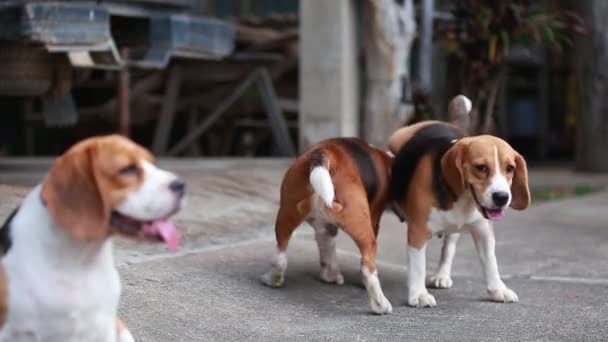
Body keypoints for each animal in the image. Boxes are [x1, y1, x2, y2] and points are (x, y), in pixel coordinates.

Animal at [262, 138, 394, 314]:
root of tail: (325, 153)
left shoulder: (324, 228)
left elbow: (327, 249)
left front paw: (329, 275)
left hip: (285, 213)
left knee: (280, 257)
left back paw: (273, 280)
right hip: (363, 227)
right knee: (368, 268)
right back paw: (381, 305)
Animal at [390, 115, 528, 308]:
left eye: (510, 168)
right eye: (481, 167)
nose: (502, 197)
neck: (464, 200)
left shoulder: (483, 231)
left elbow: (491, 262)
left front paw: (498, 289)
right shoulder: (418, 230)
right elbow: (418, 266)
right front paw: (419, 294)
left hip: (454, 230)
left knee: (448, 249)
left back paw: (441, 275)